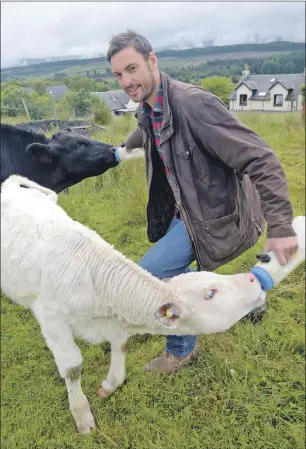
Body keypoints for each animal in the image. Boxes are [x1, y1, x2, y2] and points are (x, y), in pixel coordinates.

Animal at [1, 173, 266, 432]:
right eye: (210, 293)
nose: (252, 278)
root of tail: (11, 184)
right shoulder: (52, 320)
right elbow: (72, 367)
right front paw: (82, 416)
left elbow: (120, 349)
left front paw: (108, 385)